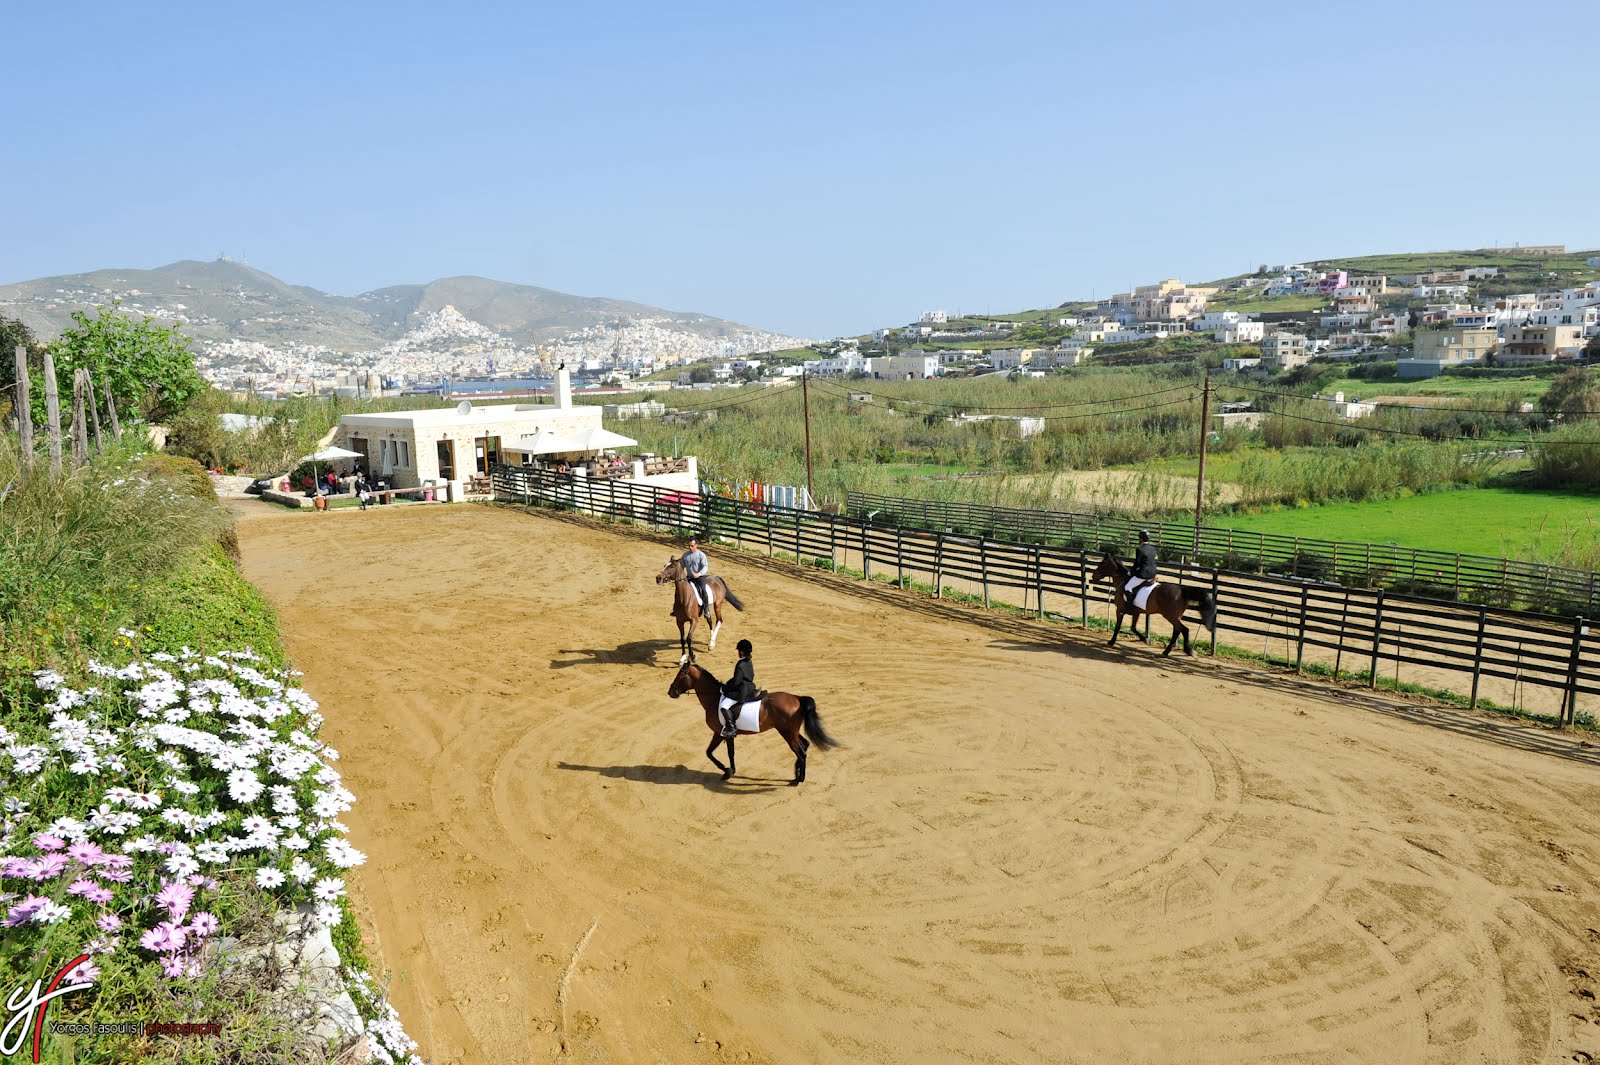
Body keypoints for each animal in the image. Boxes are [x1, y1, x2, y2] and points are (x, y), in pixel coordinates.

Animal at [665, 655, 838, 780]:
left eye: (680, 675)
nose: (670, 692)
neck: (713, 698)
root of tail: (797, 698)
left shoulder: (720, 733)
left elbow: (711, 753)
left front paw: (727, 771)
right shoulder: (726, 735)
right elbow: (729, 752)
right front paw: (731, 770)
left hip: (787, 733)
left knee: (801, 752)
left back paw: (798, 780)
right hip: (792, 732)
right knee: (805, 745)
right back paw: (797, 773)